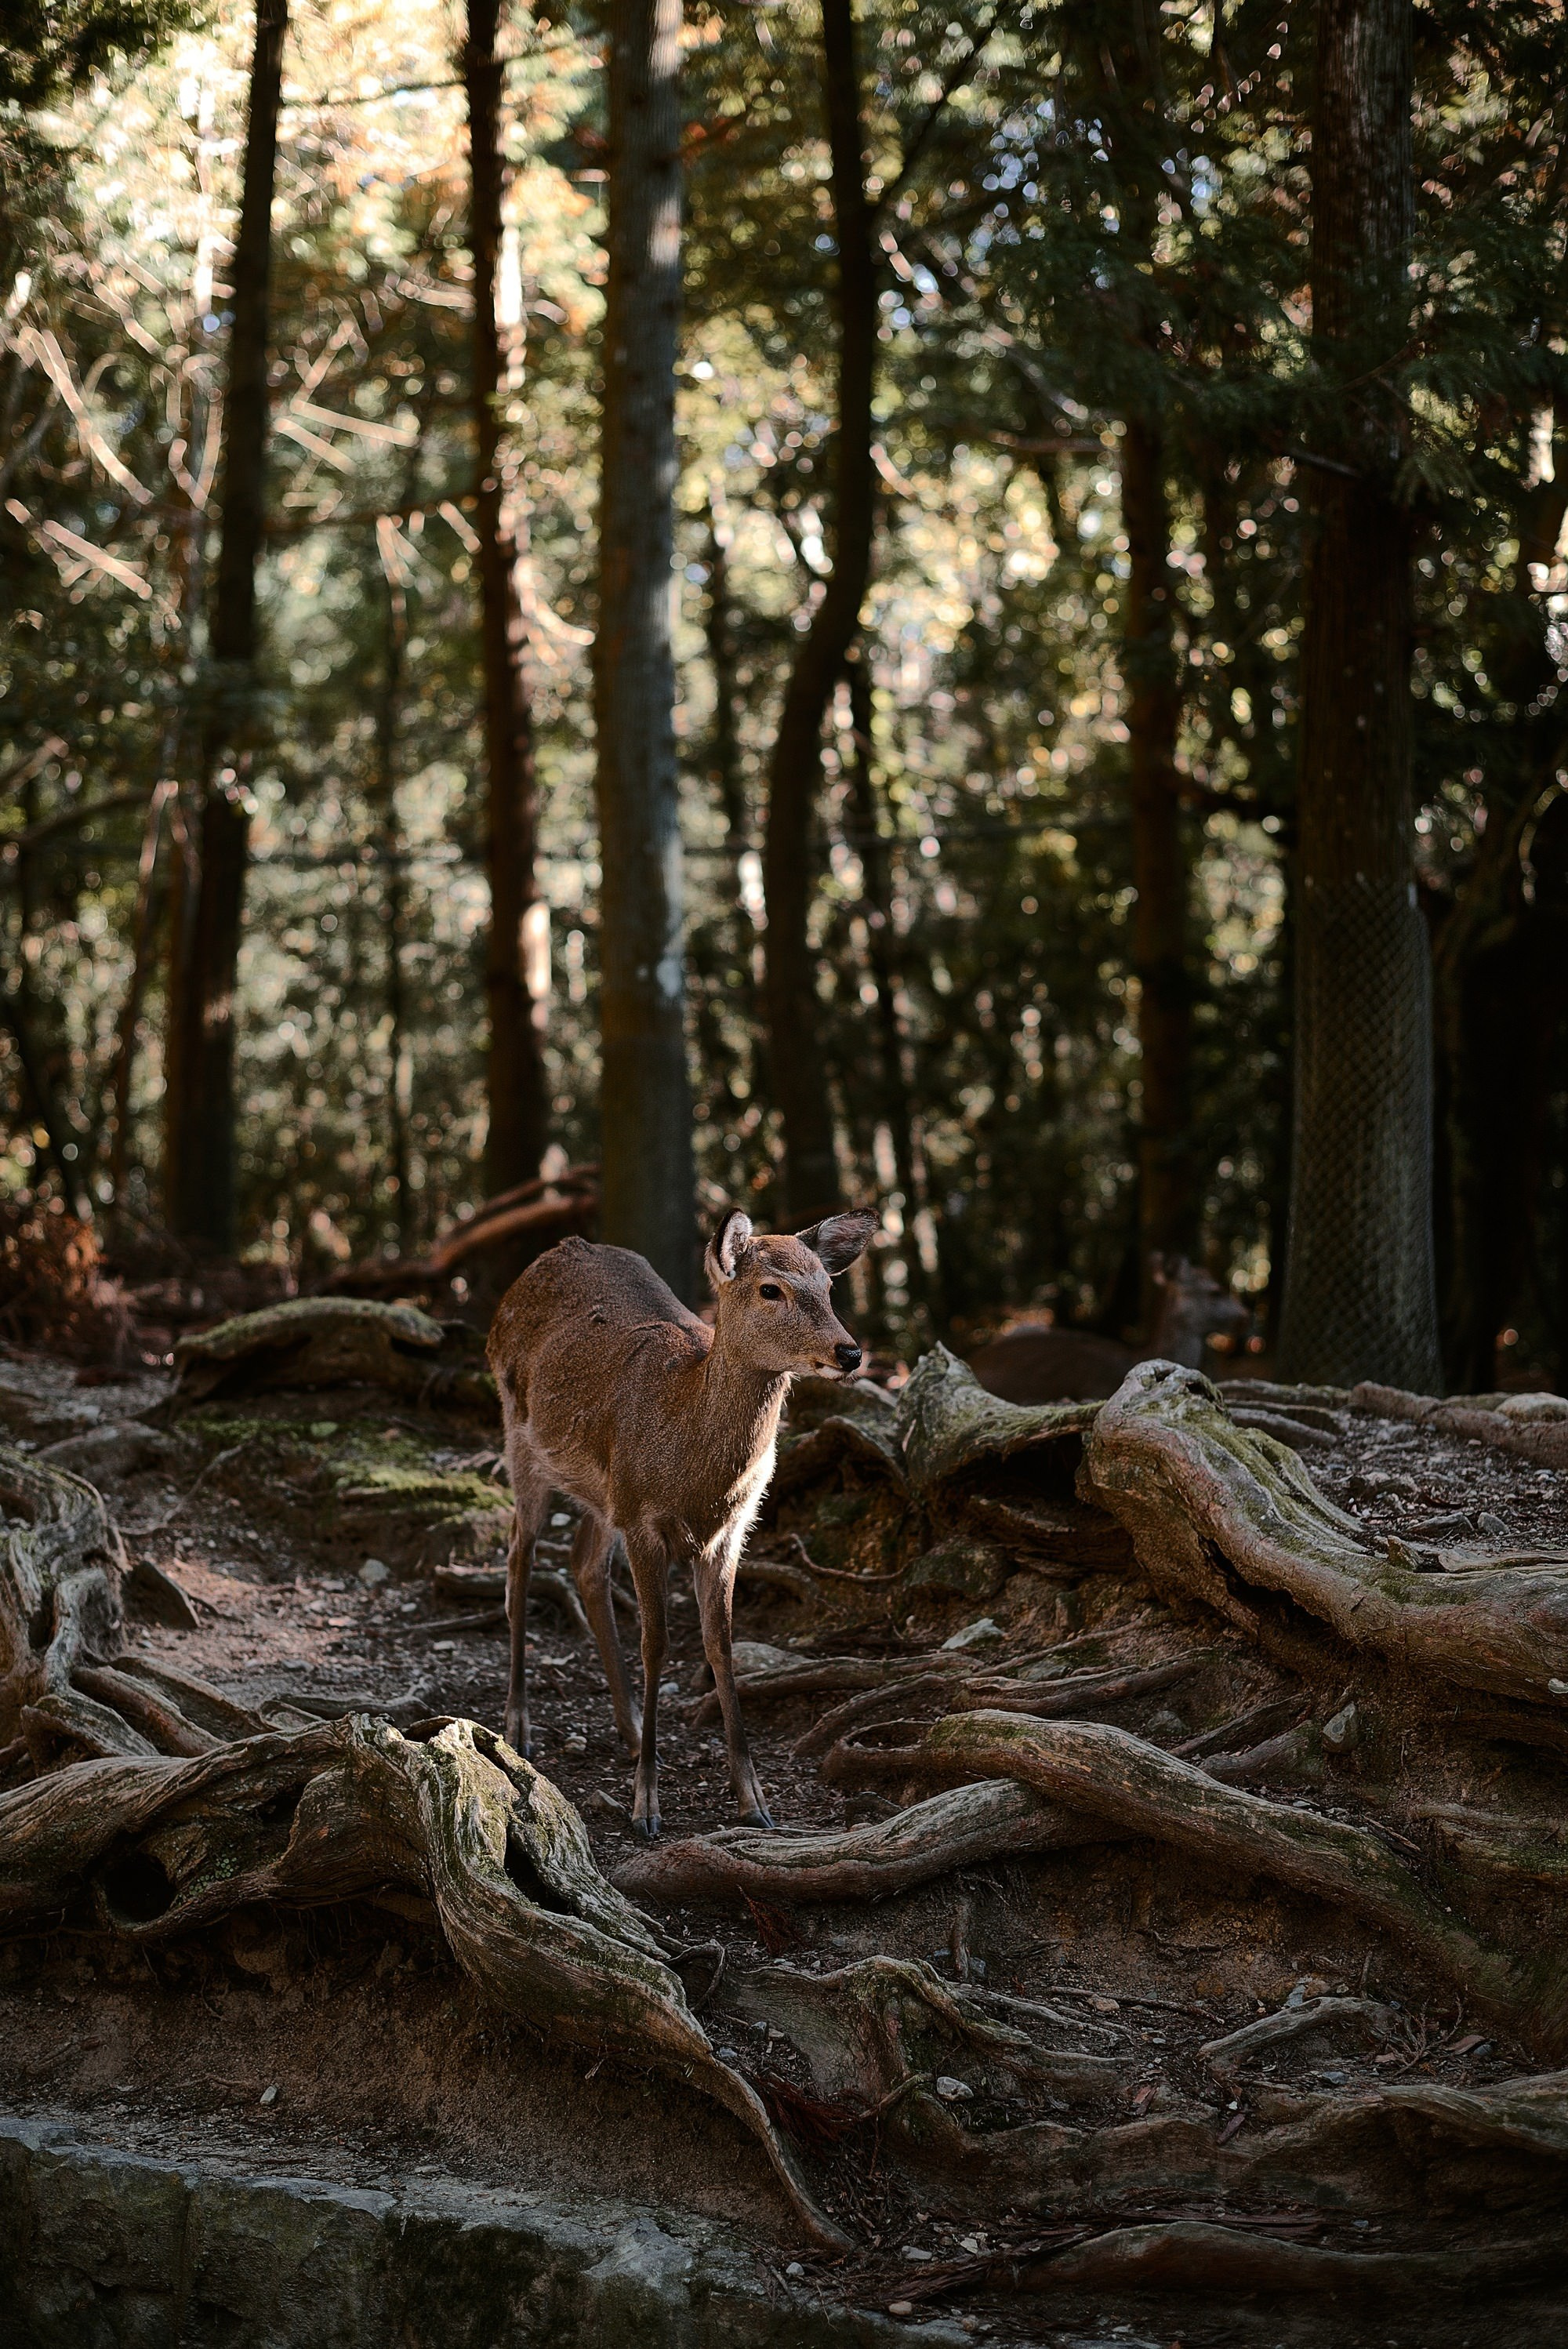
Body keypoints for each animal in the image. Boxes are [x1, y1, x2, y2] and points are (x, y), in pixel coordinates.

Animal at [485, 1205, 878, 1838]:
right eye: (771, 1289)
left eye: (828, 1286)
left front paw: (753, 1799)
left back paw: (628, 1728)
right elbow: (657, 1643)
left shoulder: (731, 1530)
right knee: (519, 1555)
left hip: (605, 1493)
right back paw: (518, 1725)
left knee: (585, 1564)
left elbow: (720, 1644)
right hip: (521, 1435)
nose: (849, 1354)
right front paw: (646, 1806)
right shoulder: (645, 1521)